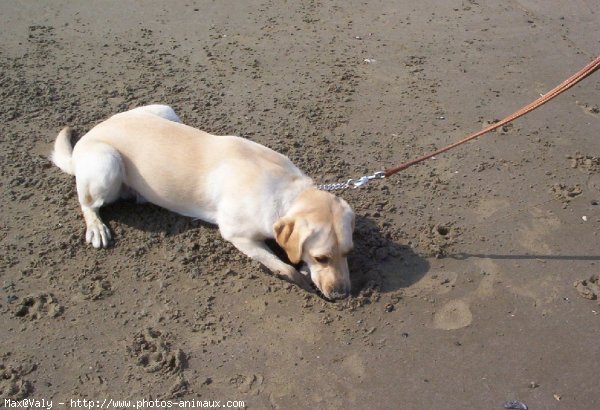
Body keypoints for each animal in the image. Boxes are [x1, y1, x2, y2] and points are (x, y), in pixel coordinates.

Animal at [51, 104, 354, 300]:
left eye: (348, 253)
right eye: (321, 257)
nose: (343, 295)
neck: (287, 190)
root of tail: (89, 135)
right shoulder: (237, 235)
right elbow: (281, 265)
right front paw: (298, 274)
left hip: (166, 109)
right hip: (106, 163)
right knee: (88, 202)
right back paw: (96, 226)